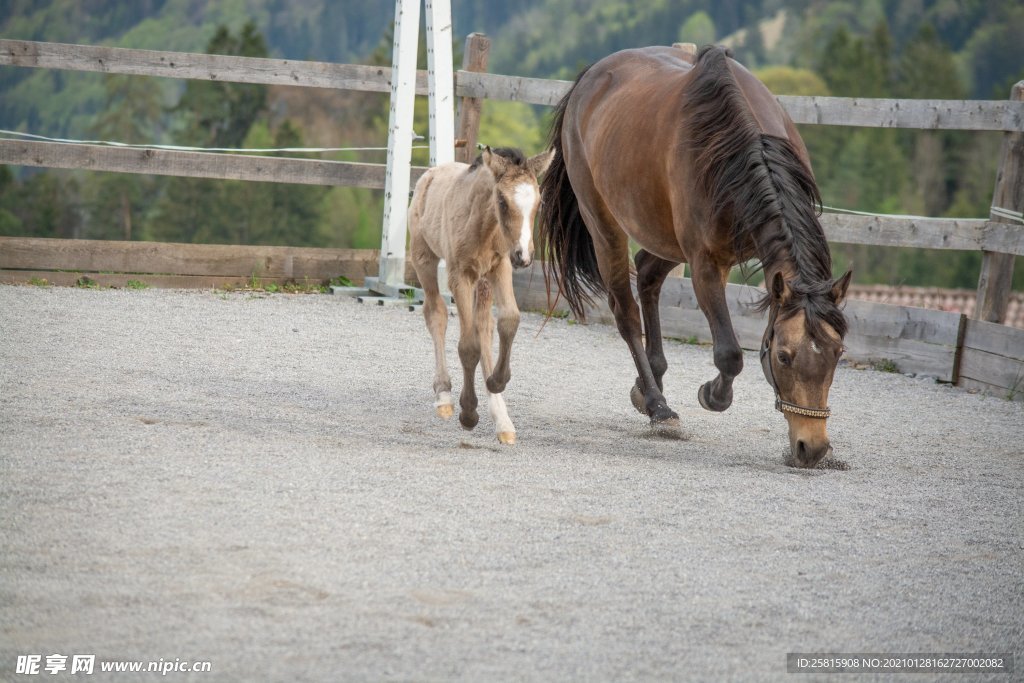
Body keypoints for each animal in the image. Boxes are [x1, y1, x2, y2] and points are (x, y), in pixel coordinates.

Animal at [407, 147, 552, 446]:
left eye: (539, 201)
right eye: (502, 200)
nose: (525, 256)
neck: (484, 226)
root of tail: (431, 172)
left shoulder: (501, 266)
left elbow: (509, 320)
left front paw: (497, 382)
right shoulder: (459, 275)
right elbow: (468, 346)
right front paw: (468, 413)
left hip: (483, 282)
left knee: (484, 325)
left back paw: (501, 417)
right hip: (423, 258)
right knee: (436, 313)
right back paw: (444, 395)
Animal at [540, 45, 851, 466]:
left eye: (836, 354)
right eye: (784, 357)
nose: (811, 447)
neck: (738, 147)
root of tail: (591, 77)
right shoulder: (706, 262)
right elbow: (729, 354)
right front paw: (712, 394)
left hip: (666, 237)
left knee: (648, 274)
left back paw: (648, 384)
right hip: (605, 226)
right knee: (626, 312)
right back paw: (658, 406)